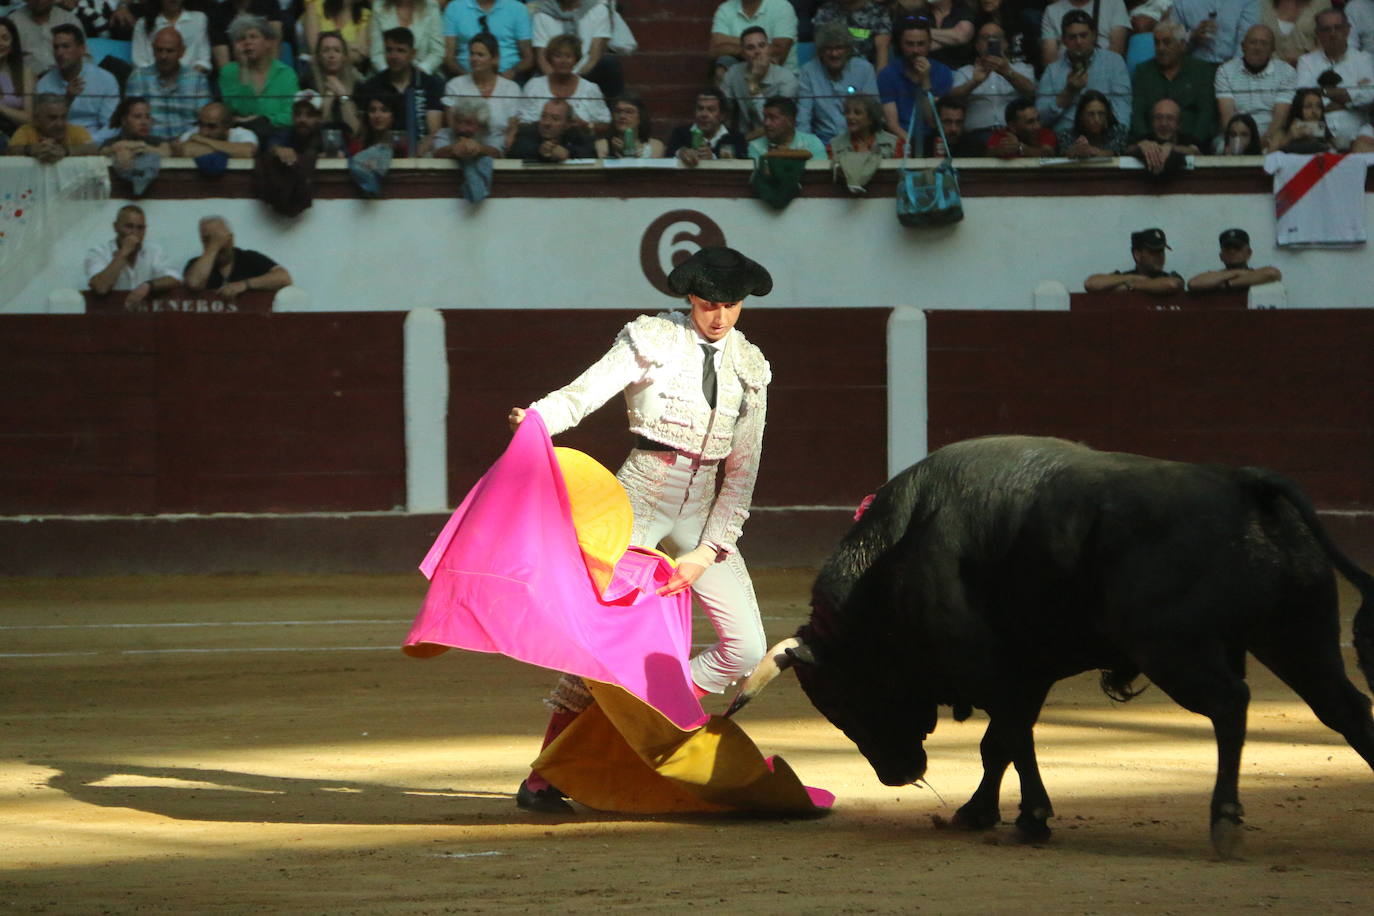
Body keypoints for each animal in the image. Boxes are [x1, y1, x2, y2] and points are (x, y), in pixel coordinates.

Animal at [725, 436, 1368, 862]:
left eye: (842, 700)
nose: (897, 774)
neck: (892, 561)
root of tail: (1242, 484)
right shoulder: (1023, 672)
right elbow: (999, 746)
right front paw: (977, 813)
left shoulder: (994, 672)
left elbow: (1010, 738)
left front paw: (1031, 819)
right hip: (1297, 634)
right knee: (1345, 708)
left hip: (1177, 649)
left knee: (1231, 704)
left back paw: (1225, 820)